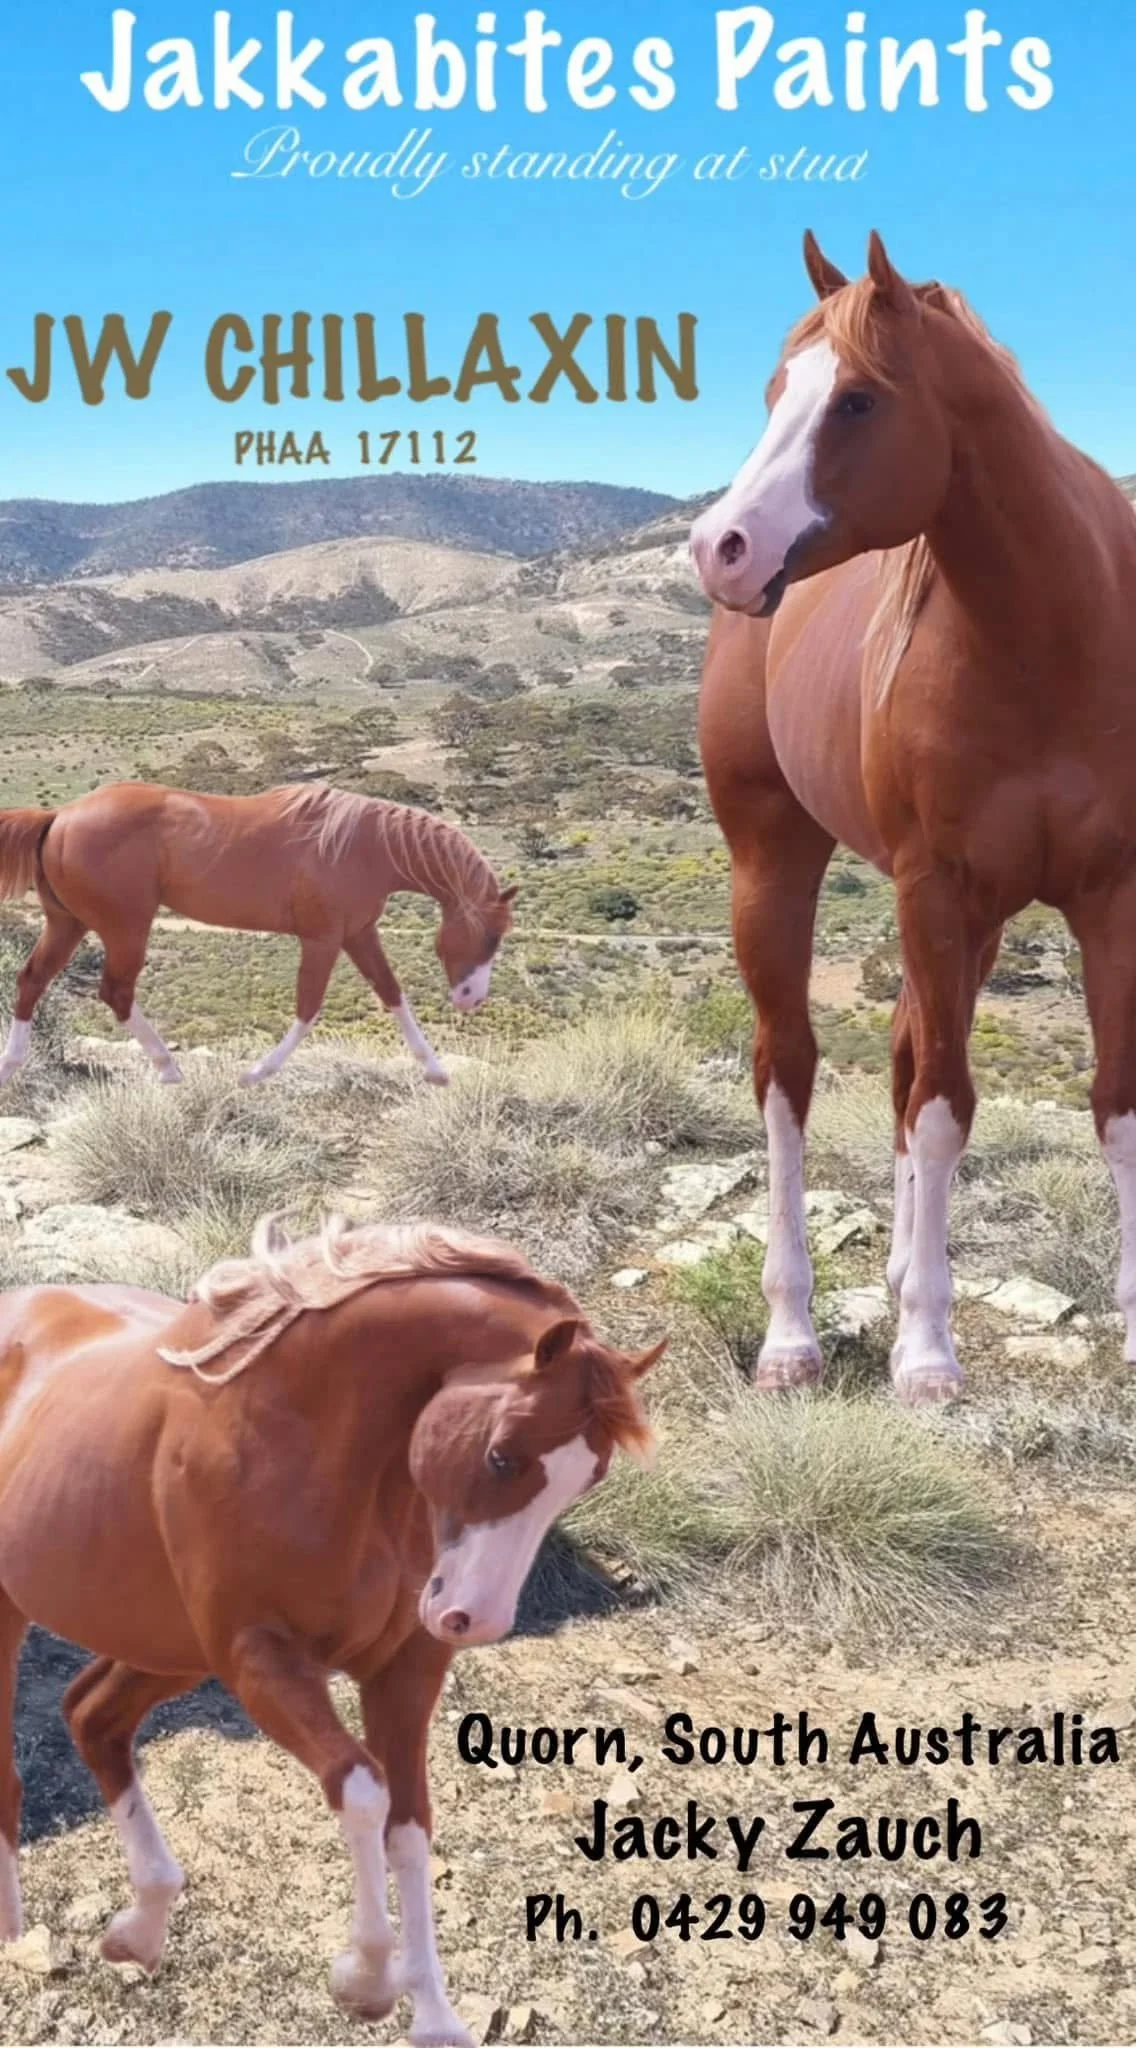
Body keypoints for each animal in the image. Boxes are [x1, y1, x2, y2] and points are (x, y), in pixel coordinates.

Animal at [0, 780, 518, 1090]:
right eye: (492, 935)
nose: (472, 999)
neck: (364, 846)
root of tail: (58, 815)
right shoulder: (322, 940)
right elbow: (308, 1008)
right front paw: (256, 1073)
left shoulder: (359, 934)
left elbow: (392, 994)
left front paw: (436, 1071)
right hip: (125, 928)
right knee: (116, 993)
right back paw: (169, 1071)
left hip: (69, 923)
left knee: (32, 980)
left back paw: (12, 1067)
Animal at [0, 1214, 664, 2036]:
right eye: (503, 1456)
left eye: (590, 1477)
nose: (473, 1619)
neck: (299, 1437)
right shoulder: (259, 1661)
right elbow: (365, 1792)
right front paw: (366, 1978)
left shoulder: (403, 1669)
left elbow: (410, 1825)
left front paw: (433, 2018)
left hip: (168, 1648)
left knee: (92, 1716)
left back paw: (140, 1929)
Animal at [690, 230, 1136, 1406]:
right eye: (773, 392)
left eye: (855, 399)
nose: (718, 546)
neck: (1050, 638)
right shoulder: (933, 887)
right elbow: (942, 1107)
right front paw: (929, 1348)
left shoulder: (1108, 896)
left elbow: (1111, 1098)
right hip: (773, 865)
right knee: (788, 1072)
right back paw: (792, 1330)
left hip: (977, 923)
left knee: (895, 1057)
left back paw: (891, 1273)